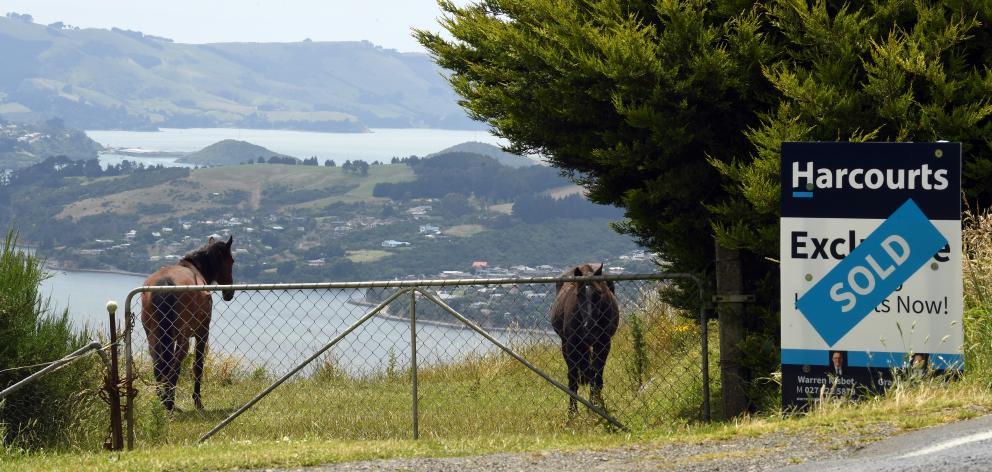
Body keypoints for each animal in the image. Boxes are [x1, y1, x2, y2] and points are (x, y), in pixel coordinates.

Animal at [140, 236, 235, 412]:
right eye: (231, 261)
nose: (229, 293)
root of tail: (165, 284)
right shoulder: (202, 333)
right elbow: (198, 366)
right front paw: (198, 401)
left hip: (153, 336)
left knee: (159, 365)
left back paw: (163, 401)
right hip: (182, 338)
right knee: (174, 367)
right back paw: (169, 403)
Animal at [552, 264, 620, 414]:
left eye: (599, 293)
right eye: (578, 295)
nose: (590, 325)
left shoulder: (603, 344)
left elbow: (596, 377)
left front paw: (594, 407)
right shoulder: (571, 346)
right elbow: (573, 380)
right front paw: (572, 414)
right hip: (565, 345)